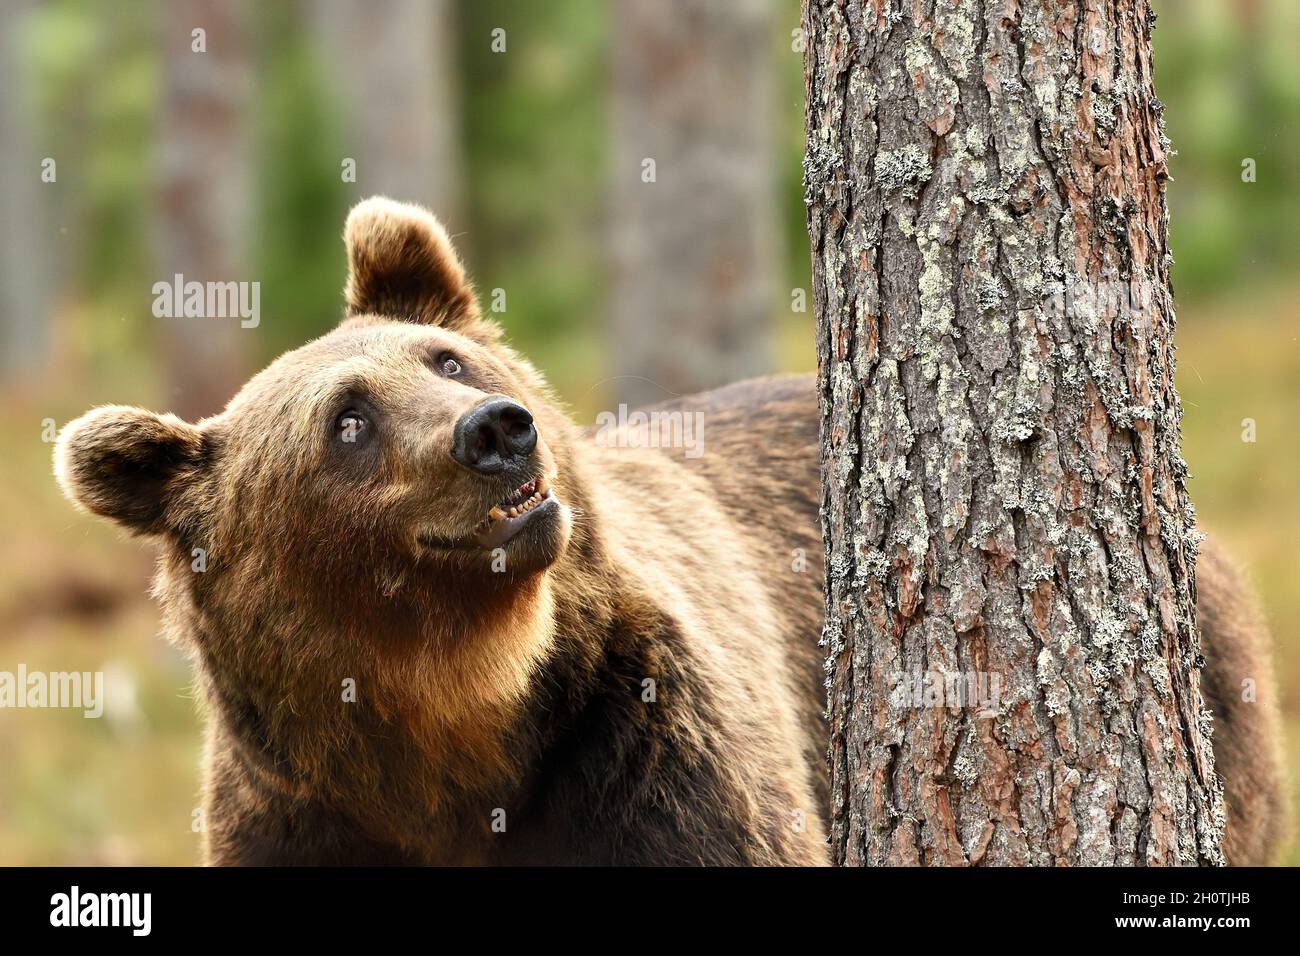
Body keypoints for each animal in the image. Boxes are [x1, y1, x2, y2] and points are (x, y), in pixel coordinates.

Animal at [54, 197, 1281, 865]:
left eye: (448, 360)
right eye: (346, 420)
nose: (497, 432)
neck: (460, 721)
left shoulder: (650, 748)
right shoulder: (300, 810)